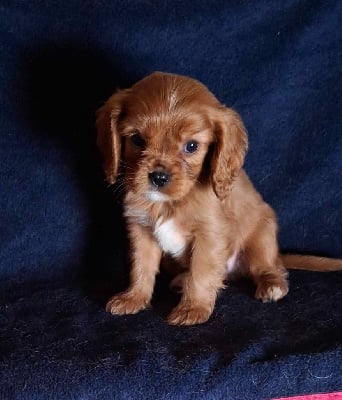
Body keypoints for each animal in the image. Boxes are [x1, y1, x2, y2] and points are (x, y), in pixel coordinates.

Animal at [96, 72, 342, 324]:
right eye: (137, 140)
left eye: (191, 146)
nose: (158, 177)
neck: (170, 203)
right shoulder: (142, 229)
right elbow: (141, 266)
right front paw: (133, 297)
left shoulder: (210, 234)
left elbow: (202, 272)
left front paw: (192, 308)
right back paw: (181, 280)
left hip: (262, 236)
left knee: (269, 266)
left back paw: (272, 284)